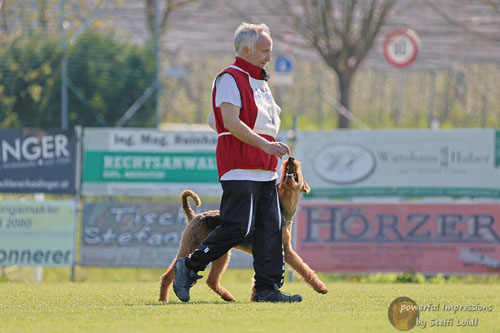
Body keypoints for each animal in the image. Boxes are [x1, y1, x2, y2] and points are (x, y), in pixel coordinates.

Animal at [157, 157, 328, 302]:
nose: (291, 158)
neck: (282, 209)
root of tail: (193, 215)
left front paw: (256, 295)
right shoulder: (286, 250)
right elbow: (304, 268)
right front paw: (321, 288)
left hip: (222, 255)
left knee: (211, 280)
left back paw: (228, 297)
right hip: (193, 247)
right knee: (169, 274)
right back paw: (164, 298)